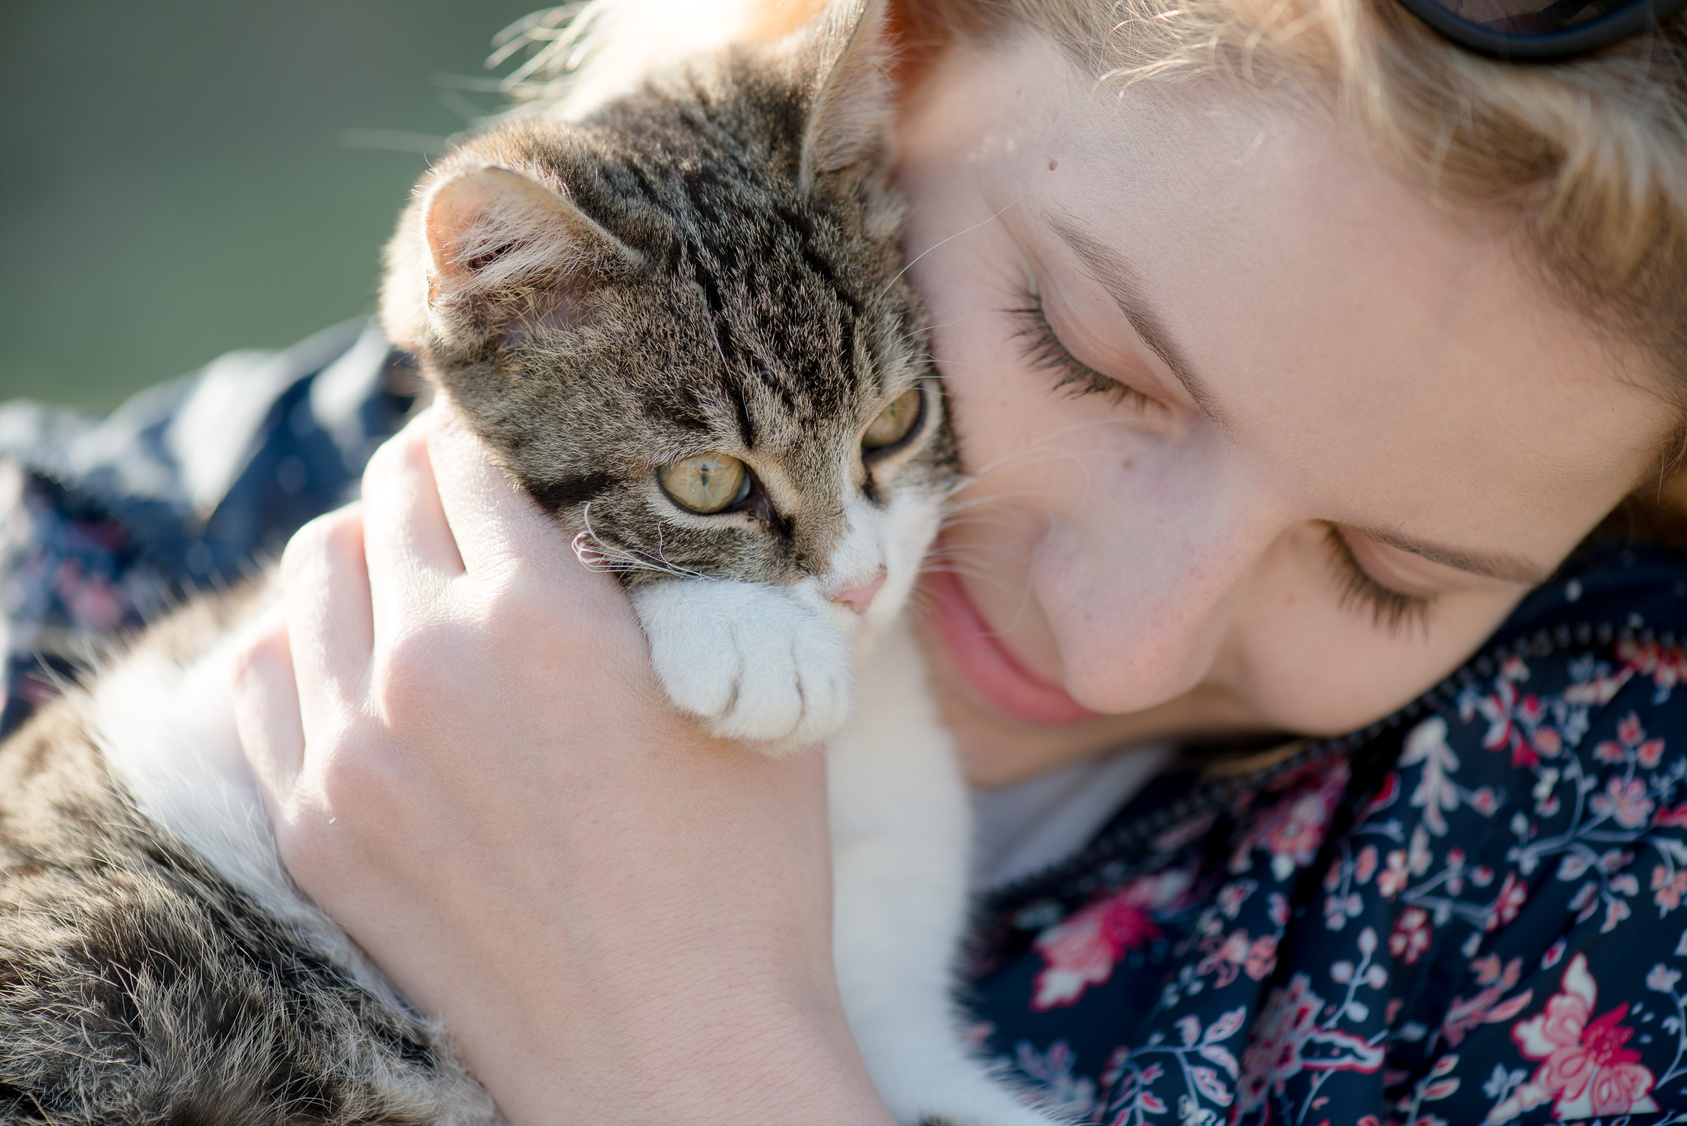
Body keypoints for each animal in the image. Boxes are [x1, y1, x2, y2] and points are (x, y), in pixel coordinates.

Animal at [0, 2, 1059, 1126]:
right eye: (705, 481)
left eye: (895, 422)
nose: (861, 584)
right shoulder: (203, 699)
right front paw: (751, 642)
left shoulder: (896, 1000)